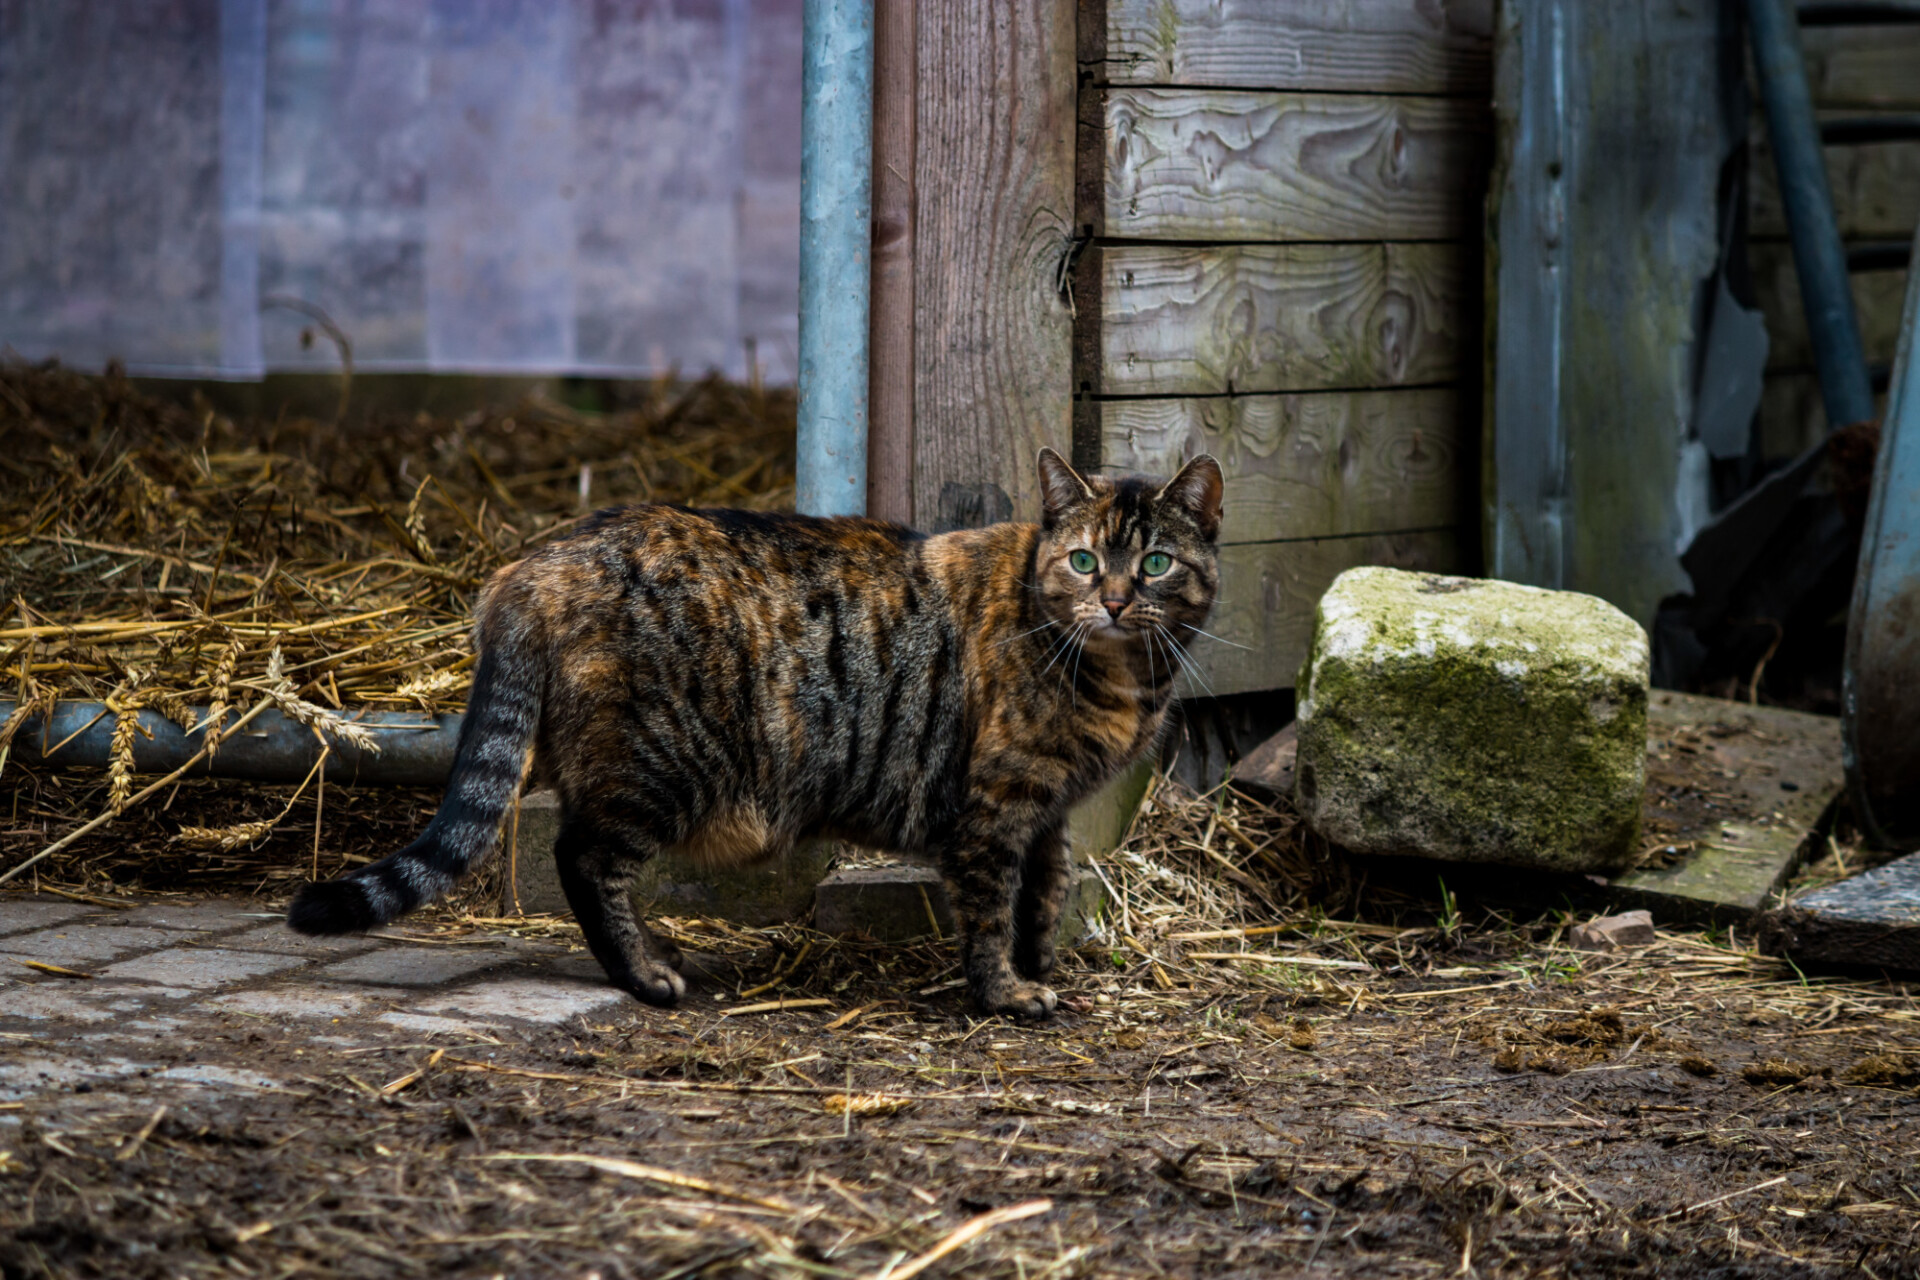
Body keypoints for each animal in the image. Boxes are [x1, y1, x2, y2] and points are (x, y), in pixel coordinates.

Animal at [291, 450, 1221, 1020]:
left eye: (1157, 564)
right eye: (1084, 561)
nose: (1114, 601)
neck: (1114, 675)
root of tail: (535, 563)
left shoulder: (1048, 809)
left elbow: (1046, 892)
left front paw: (1040, 966)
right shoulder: (997, 807)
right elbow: (993, 908)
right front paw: (1004, 993)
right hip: (658, 766)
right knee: (583, 860)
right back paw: (646, 973)